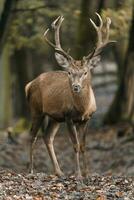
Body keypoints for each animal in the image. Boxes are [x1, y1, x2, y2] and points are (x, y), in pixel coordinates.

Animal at [24, 12, 113, 178]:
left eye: (85, 72)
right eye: (69, 72)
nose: (76, 87)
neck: (82, 108)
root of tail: (29, 84)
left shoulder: (86, 119)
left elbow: (83, 145)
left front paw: (87, 173)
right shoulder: (68, 116)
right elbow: (75, 144)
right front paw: (77, 174)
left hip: (54, 117)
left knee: (47, 136)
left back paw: (59, 171)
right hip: (36, 109)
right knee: (32, 135)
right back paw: (31, 169)